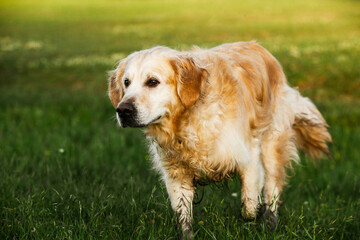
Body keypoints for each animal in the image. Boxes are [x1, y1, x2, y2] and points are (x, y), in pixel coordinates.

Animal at [107, 41, 332, 238]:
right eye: (126, 83)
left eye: (152, 82)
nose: (123, 110)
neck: (187, 122)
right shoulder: (176, 174)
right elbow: (183, 218)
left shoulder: (249, 159)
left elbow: (249, 208)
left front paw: (255, 215)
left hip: (272, 145)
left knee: (272, 190)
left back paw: (270, 224)